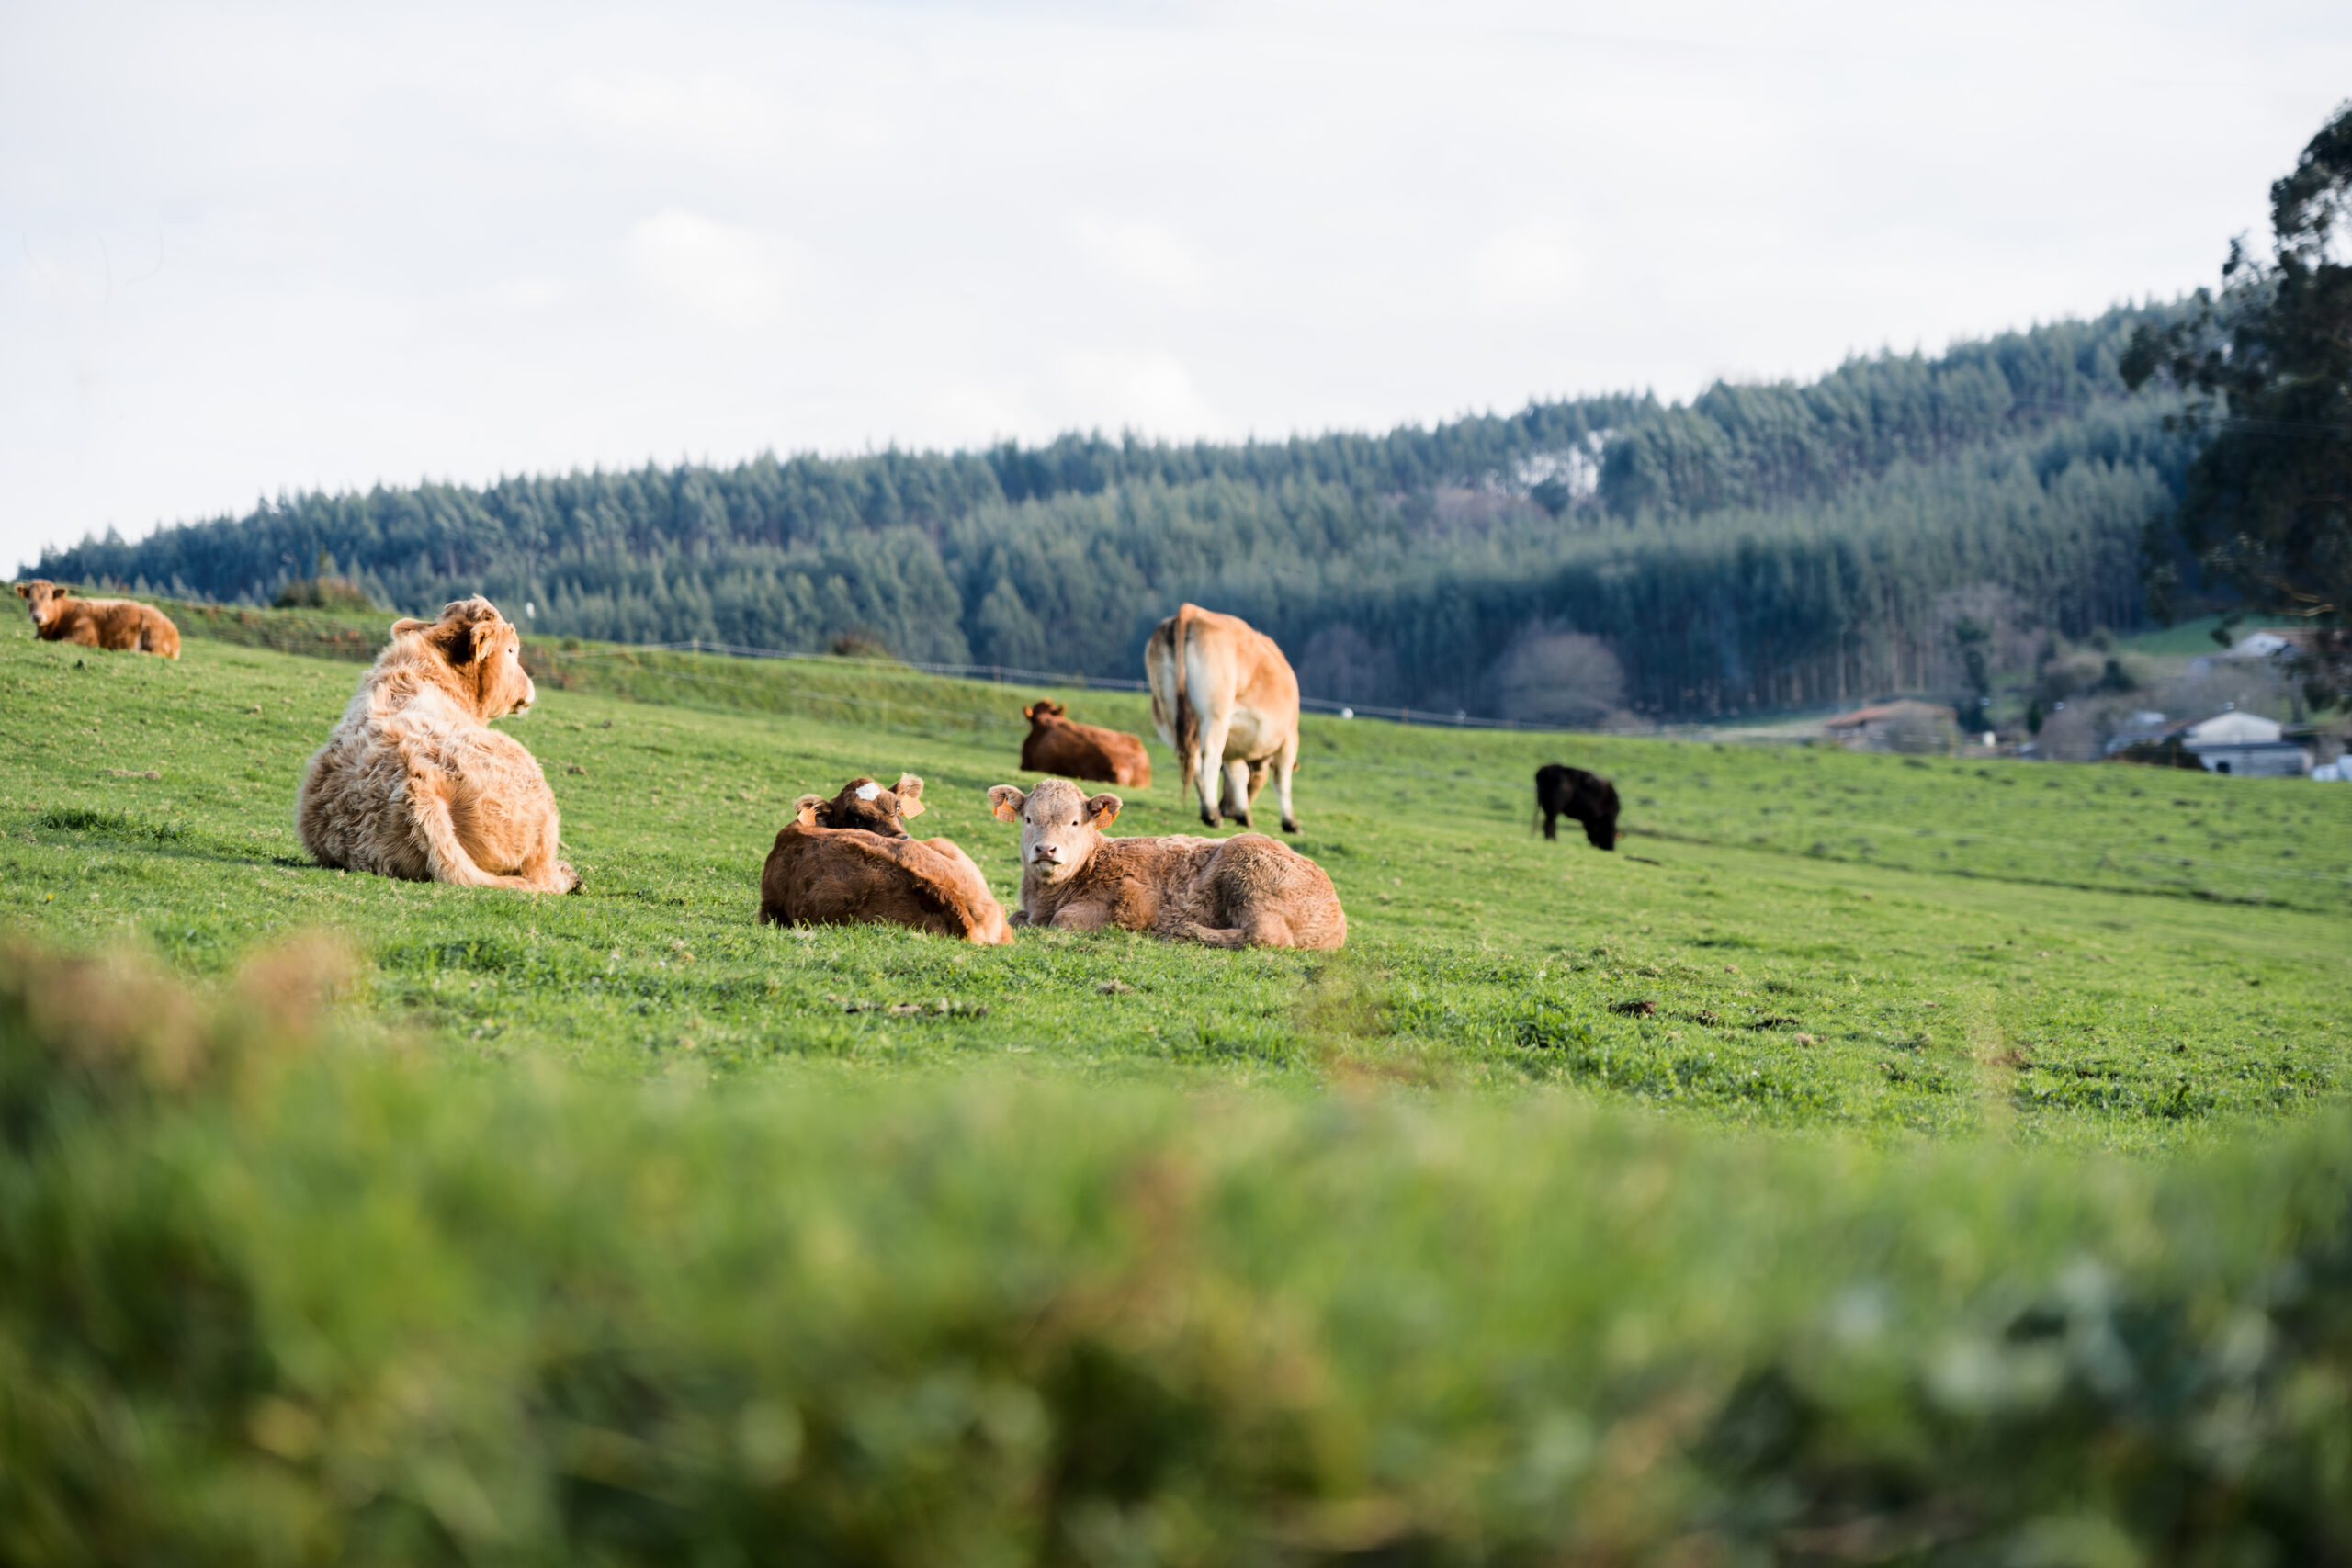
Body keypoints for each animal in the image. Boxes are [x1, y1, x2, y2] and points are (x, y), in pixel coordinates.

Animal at [15, 580, 180, 659]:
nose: (37, 616)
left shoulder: (85, 636)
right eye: (30, 599)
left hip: (154, 639)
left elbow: (61, 642)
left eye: (49, 599)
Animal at [987, 777, 1344, 949]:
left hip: (1249, 871)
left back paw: (1183, 931)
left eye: (1074, 822)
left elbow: (1064, 920)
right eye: (1028, 818)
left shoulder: (1132, 903)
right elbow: (1015, 917)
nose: (1046, 849)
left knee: (1266, 937)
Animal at [1144, 603, 1301, 833]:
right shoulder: (1289, 736)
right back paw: (1211, 814)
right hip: (1215, 714)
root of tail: (1192, 610)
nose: (1228, 811)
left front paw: (1244, 815)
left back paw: (1209, 810)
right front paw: (1290, 822)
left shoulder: (1233, 742)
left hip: (1167, 714)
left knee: (1191, 758)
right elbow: (1282, 780)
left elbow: (1238, 773)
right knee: (1209, 756)